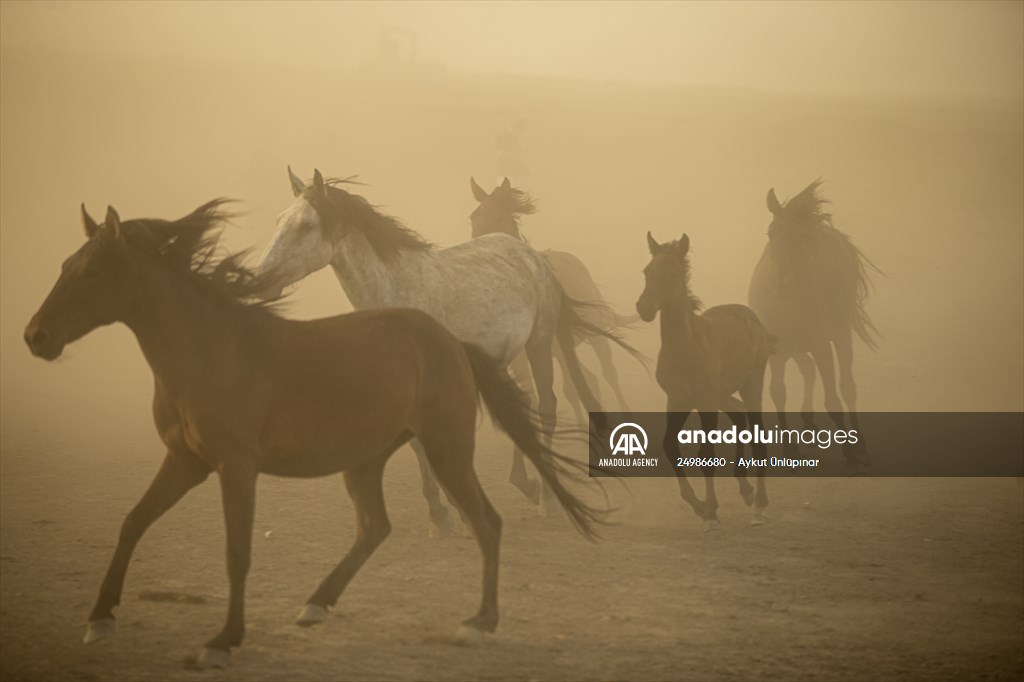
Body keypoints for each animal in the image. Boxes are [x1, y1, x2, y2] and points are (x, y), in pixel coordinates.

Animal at [24, 200, 606, 668]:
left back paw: (478, 622)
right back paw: (316, 604)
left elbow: (237, 551)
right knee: (374, 526)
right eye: (66, 266)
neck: (210, 350)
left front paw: (222, 641)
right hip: (366, 459)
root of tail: (449, 341)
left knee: (485, 521)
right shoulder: (185, 461)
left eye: (93, 270)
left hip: (448, 447)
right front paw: (99, 619)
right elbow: (133, 522)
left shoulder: (236, 467)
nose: (36, 336)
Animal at [469, 177, 636, 423]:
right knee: (585, 381)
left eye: (499, 217)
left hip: (592, 333)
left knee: (607, 374)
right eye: (473, 217)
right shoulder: (520, 359)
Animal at [637, 232, 770, 530]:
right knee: (738, 413)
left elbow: (706, 452)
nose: (644, 308)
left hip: (751, 383)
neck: (686, 348)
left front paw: (710, 512)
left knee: (757, 432)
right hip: (722, 394)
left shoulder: (706, 401)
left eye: (673, 273)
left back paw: (759, 506)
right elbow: (669, 445)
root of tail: (752, 318)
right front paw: (698, 506)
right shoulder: (677, 399)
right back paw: (746, 490)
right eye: (647, 271)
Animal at [748, 180, 879, 467]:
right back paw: (808, 423)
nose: (783, 282)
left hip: (840, 335)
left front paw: (851, 452)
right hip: (796, 348)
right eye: (771, 233)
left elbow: (833, 399)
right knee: (808, 370)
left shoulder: (821, 344)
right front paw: (789, 449)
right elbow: (778, 391)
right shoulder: (777, 350)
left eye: (802, 237)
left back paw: (860, 443)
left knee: (847, 386)